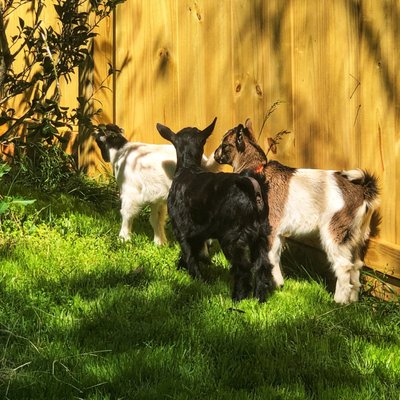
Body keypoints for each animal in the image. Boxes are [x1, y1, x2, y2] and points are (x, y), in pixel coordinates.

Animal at [156, 117, 276, 302]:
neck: (188, 167)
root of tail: (251, 188)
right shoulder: (198, 234)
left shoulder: (181, 230)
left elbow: (189, 256)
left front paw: (195, 279)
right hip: (261, 236)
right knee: (262, 267)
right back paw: (259, 298)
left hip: (232, 238)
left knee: (243, 269)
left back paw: (237, 297)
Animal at [214, 119, 380, 304]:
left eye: (225, 144)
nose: (215, 154)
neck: (257, 170)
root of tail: (364, 191)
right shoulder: (278, 233)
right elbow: (275, 256)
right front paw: (279, 284)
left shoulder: (270, 227)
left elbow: (269, 256)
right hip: (357, 235)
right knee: (357, 265)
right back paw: (353, 300)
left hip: (335, 231)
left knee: (343, 266)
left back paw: (339, 301)